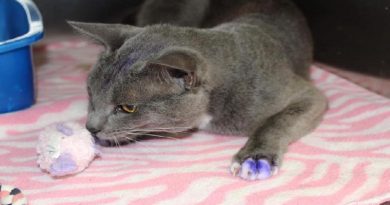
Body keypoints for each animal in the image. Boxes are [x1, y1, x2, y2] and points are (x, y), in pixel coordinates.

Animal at [69, 0, 326, 180]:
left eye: (127, 108)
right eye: (90, 94)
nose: (90, 127)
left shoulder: (307, 95)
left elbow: (277, 121)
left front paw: (255, 159)